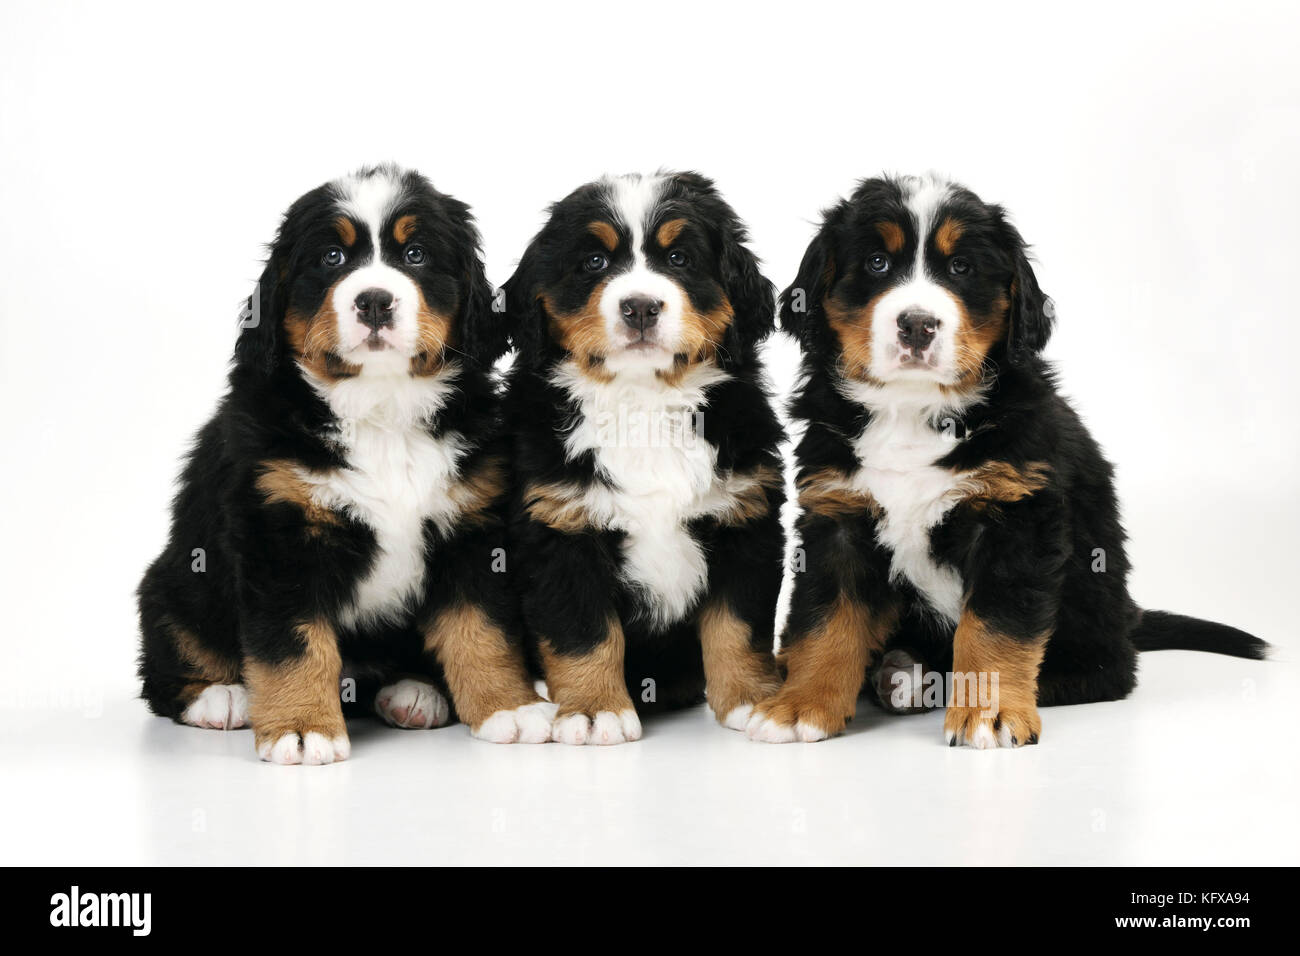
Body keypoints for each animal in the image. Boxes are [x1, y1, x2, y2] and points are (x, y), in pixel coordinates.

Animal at [137, 164, 553, 764]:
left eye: (416, 254)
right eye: (332, 258)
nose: (374, 301)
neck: (381, 411)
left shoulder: (472, 528)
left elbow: (483, 629)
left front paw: (509, 707)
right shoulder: (279, 533)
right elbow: (292, 646)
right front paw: (301, 728)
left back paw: (414, 692)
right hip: (172, 585)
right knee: (168, 665)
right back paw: (222, 698)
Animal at [496, 171, 780, 743]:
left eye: (679, 259)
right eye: (594, 262)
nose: (642, 307)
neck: (643, 400)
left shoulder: (746, 518)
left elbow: (737, 626)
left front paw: (748, 698)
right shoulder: (560, 528)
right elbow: (584, 632)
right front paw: (593, 710)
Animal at [754, 175, 1268, 749]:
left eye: (961, 268)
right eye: (876, 263)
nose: (917, 325)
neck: (912, 409)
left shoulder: (1016, 516)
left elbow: (995, 626)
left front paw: (989, 713)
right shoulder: (838, 512)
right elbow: (826, 619)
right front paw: (801, 705)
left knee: (1109, 671)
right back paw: (891, 673)